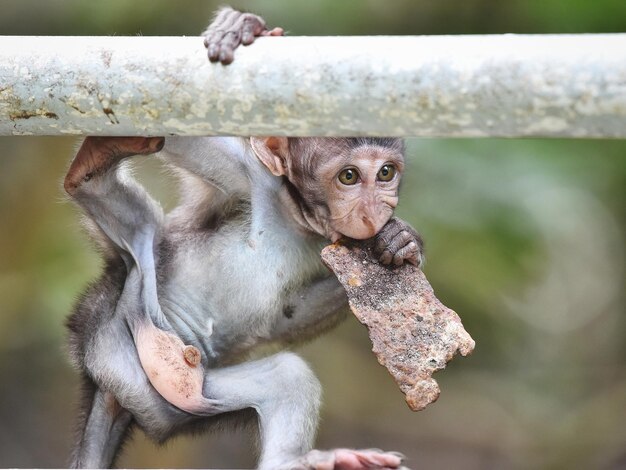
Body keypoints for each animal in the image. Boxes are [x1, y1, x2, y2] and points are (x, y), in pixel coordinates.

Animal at [63, 7, 422, 470]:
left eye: (386, 173)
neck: (297, 218)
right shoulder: (252, 177)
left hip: (185, 400)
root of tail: (113, 391)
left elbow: (283, 318)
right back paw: (89, 171)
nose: (374, 212)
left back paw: (302, 461)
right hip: (115, 332)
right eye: (348, 176)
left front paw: (401, 240)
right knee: (141, 233)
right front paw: (243, 28)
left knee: (285, 377)